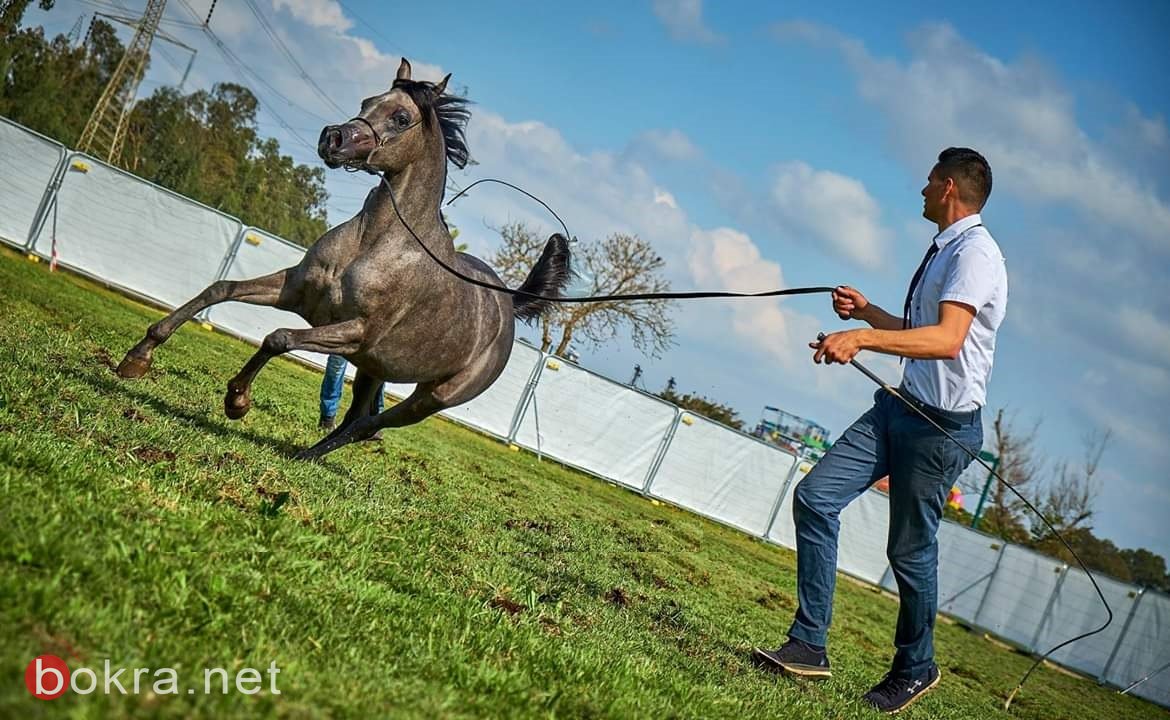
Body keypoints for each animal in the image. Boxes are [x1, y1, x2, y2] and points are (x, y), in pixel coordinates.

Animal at [116, 59, 573, 458]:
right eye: (367, 101)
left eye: (401, 118)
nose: (331, 138)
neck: (373, 243)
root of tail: (507, 304)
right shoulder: (296, 291)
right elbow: (220, 288)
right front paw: (137, 359)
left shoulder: (355, 332)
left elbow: (278, 338)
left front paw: (237, 401)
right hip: (373, 370)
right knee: (357, 416)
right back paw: (308, 455)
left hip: (432, 396)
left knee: (368, 424)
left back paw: (307, 455)